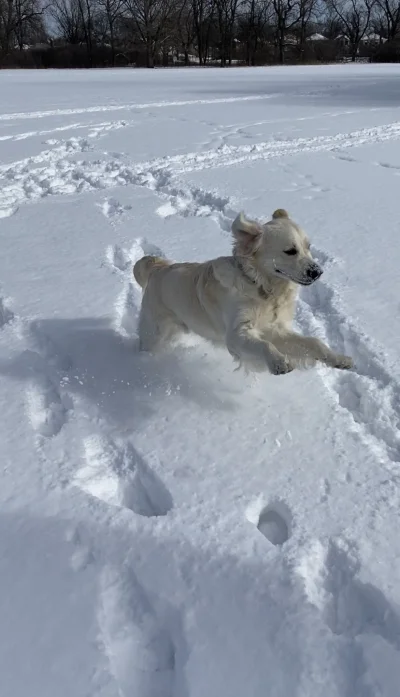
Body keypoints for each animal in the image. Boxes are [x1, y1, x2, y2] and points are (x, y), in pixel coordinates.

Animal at [134, 209, 354, 376]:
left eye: (308, 247)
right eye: (290, 251)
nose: (317, 272)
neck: (262, 288)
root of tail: (157, 268)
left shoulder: (274, 329)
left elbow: (313, 342)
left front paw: (339, 359)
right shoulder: (236, 333)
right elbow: (264, 345)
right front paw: (279, 363)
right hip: (154, 334)